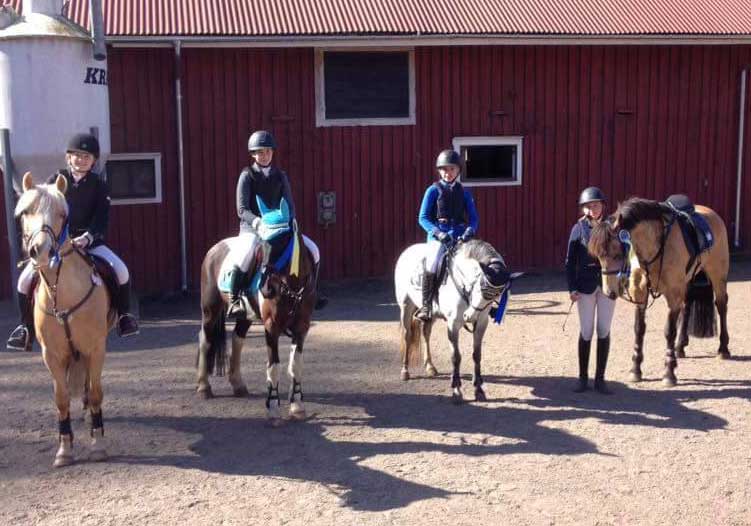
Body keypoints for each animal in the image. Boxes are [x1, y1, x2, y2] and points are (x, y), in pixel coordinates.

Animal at [15, 172, 114, 466]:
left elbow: (96, 392)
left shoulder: (96, 348)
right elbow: (61, 399)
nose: (41, 250)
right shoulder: (52, 354)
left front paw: (98, 444)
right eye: (26, 211)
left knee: (90, 386)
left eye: (61, 213)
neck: (63, 293)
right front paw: (64, 450)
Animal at [195, 230, 316, 424]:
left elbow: (296, 365)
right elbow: (273, 366)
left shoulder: (301, 327)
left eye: (279, 247)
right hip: (210, 309)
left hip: (246, 315)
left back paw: (238, 385)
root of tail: (215, 249)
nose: (267, 290)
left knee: (237, 338)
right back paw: (203, 387)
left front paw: (297, 406)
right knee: (205, 340)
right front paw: (273, 408)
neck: (291, 288)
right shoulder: (271, 328)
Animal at [394, 241, 524, 406]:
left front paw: (479, 390)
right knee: (407, 336)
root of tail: (408, 250)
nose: (469, 316)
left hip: (431, 314)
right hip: (406, 305)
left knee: (426, 333)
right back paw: (405, 371)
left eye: (497, 295)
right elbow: (456, 356)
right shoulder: (453, 324)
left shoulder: (481, 323)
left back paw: (430, 367)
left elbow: (477, 355)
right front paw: (456, 390)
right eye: (479, 288)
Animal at [592, 198, 732, 388]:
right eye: (598, 256)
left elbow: (669, 332)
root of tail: (711, 213)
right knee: (687, 307)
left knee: (721, 306)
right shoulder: (640, 294)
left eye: (616, 253)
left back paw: (723, 349)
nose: (609, 292)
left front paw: (669, 373)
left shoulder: (672, 297)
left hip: (718, 276)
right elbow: (639, 329)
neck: (655, 246)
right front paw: (635, 370)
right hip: (686, 282)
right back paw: (680, 347)